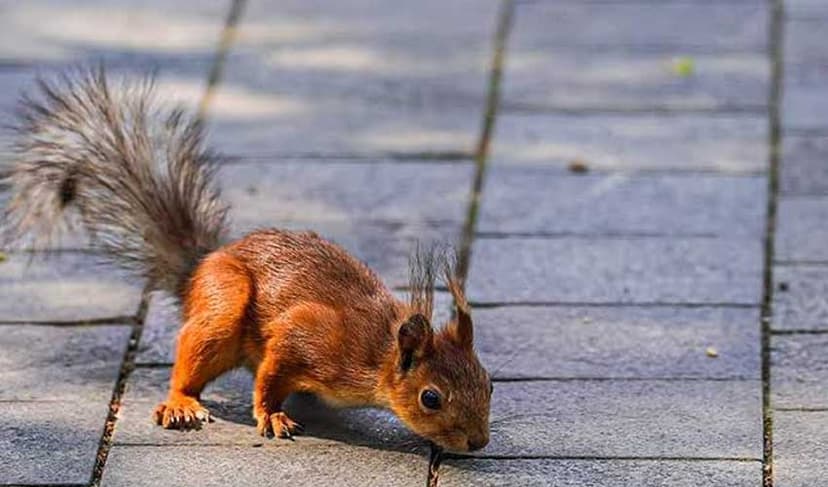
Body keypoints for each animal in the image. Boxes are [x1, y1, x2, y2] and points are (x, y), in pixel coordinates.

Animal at [0, 68, 491, 453]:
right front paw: (271, 414)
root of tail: (199, 268)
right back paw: (181, 402)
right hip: (224, 302)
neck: (376, 351)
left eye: (489, 382)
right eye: (431, 397)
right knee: (194, 354)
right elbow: (271, 375)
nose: (478, 442)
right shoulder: (304, 334)